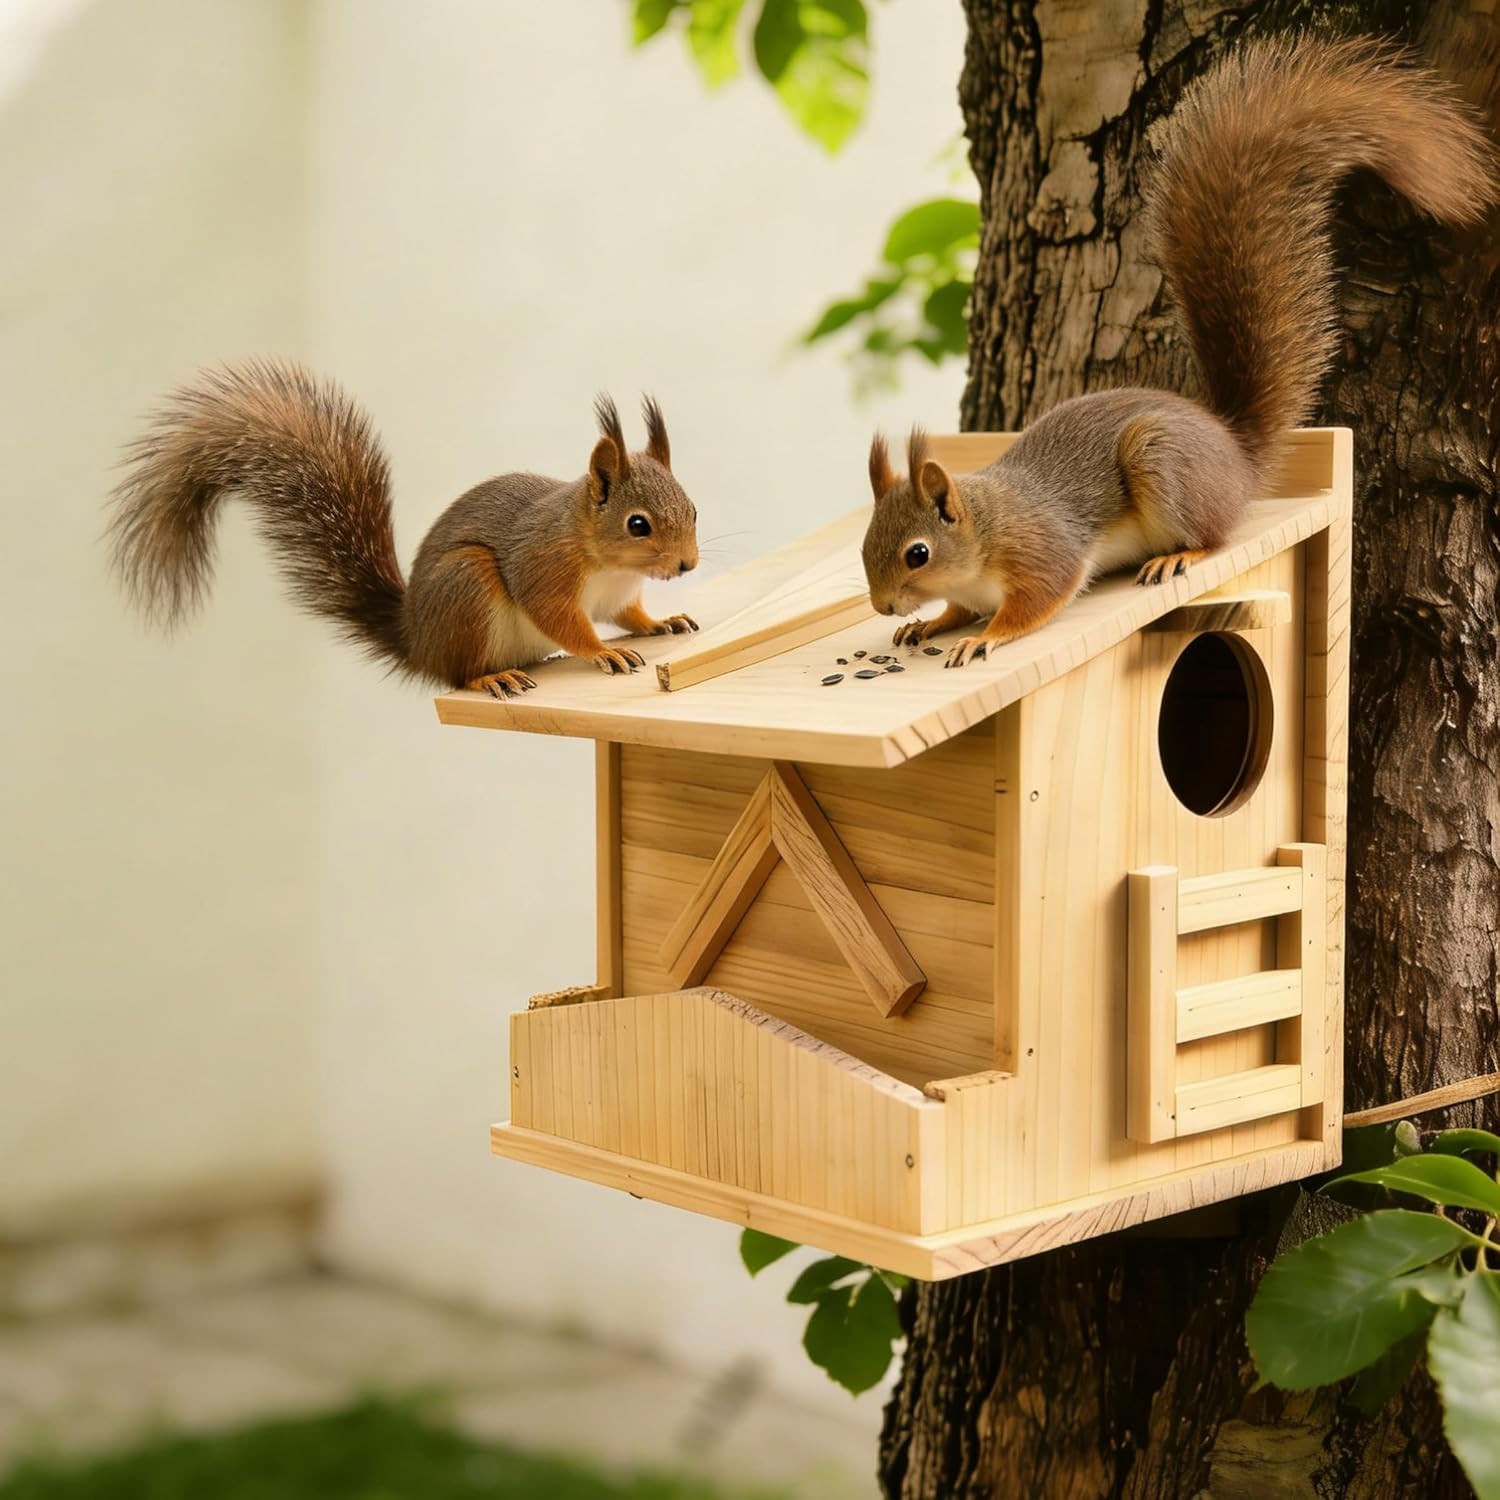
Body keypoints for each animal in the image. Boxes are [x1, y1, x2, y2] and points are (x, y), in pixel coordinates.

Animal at [108, 361, 701, 696]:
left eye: (693, 510)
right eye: (638, 524)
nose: (688, 564)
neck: (601, 557)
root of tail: (417, 641)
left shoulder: (617, 596)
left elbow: (628, 616)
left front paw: (661, 621)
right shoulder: (544, 568)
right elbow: (561, 619)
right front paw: (602, 652)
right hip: (466, 585)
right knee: (458, 674)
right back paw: (491, 677)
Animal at [861, 37, 1499, 668]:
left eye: (917, 553)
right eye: (866, 542)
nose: (883, 606)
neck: (984, 531)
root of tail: (1235, 453)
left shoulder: (1042, 550)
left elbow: (1038, 600)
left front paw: (983, 637)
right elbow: (957, 608)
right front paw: (930, 624)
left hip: (1162, 463)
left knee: (1215, 536)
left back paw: (1179, 556)